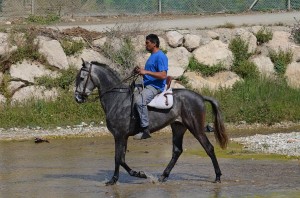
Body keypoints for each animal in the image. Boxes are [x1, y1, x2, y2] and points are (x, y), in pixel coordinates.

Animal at [74, 59, 227, 185]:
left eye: (81, 78)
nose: (77, 98)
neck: (118, 99)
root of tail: (200, 97)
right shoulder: (123, 136)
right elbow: (122, 159)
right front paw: (138, 174)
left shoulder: (119, 135)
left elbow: (118, 158)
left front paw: (114, 180)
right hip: (178, 127)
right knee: (177, 151)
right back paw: (163, 176)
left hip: (195, 127)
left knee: (209, 148)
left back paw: (218, 176)